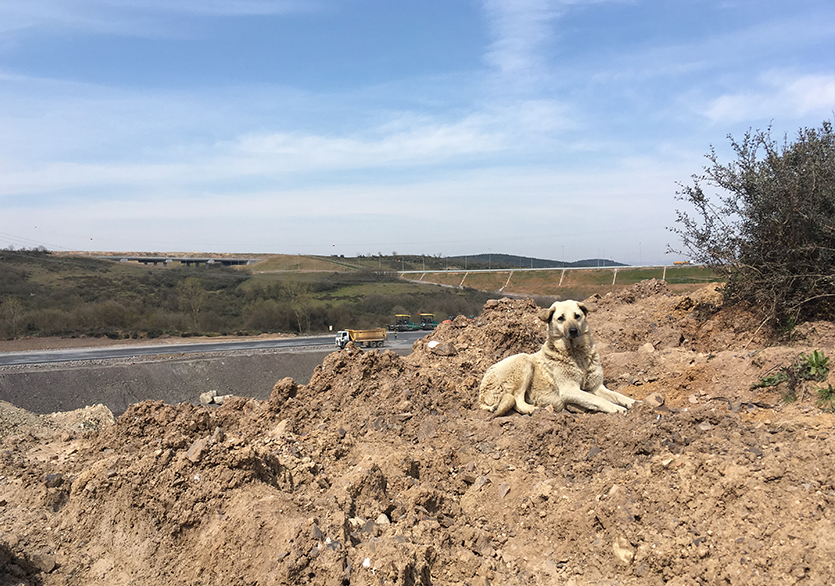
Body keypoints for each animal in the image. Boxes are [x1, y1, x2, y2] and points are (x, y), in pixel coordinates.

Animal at [480, 298, 636, 412]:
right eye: (561, 318)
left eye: (577, 316)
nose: (573, 331)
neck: (576, 353)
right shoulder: (569, 390)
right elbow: (597, 399)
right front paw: (617, 409)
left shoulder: (597, 387)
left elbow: (617, 395)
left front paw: (634, 402)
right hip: (524, 361)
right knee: (517, 400)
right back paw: (534, 409)